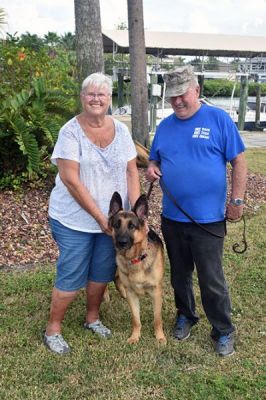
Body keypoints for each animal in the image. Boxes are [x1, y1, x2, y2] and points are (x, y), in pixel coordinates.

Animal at [108, 191, 166, 344]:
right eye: (116, 225)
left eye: (132, 226)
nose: (121, 243)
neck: (135, 259)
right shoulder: (132, 295)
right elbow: (135, 319)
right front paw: (135, 336)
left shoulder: (156, 293)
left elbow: (157, 319)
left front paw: (160, 337)